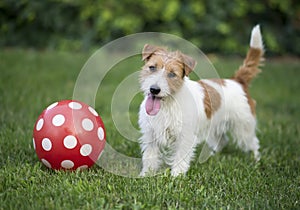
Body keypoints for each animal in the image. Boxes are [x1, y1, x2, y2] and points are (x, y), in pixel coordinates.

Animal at [139, 24, 264, 176]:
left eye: (172, 74)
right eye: (152, 67)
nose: (154, 89)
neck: (168, 104)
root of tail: (237, 81)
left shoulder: (185, 137)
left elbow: (180, 157)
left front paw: (176, 176)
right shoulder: (151, 135)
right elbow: (150, 156)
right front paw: (146, 174)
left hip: (243, 127)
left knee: (253, 143)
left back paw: (256, 160)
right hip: (216, 127)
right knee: (222, 140)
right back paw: (212, 156)